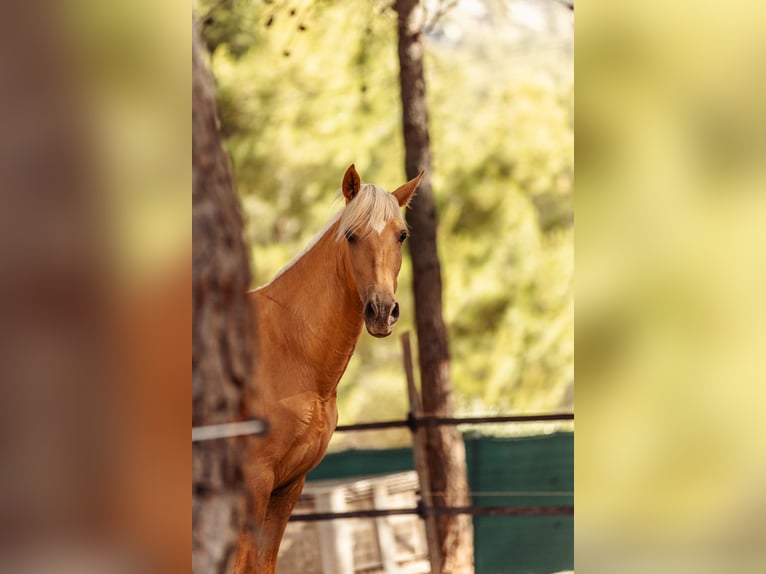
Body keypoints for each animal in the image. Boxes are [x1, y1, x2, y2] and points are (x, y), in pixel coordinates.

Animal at [237, 164, 424, 572]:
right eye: (352, 236)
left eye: (401, 235)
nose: (382, 311)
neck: (288, 347)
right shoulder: (253, 486)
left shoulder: (287, 488)